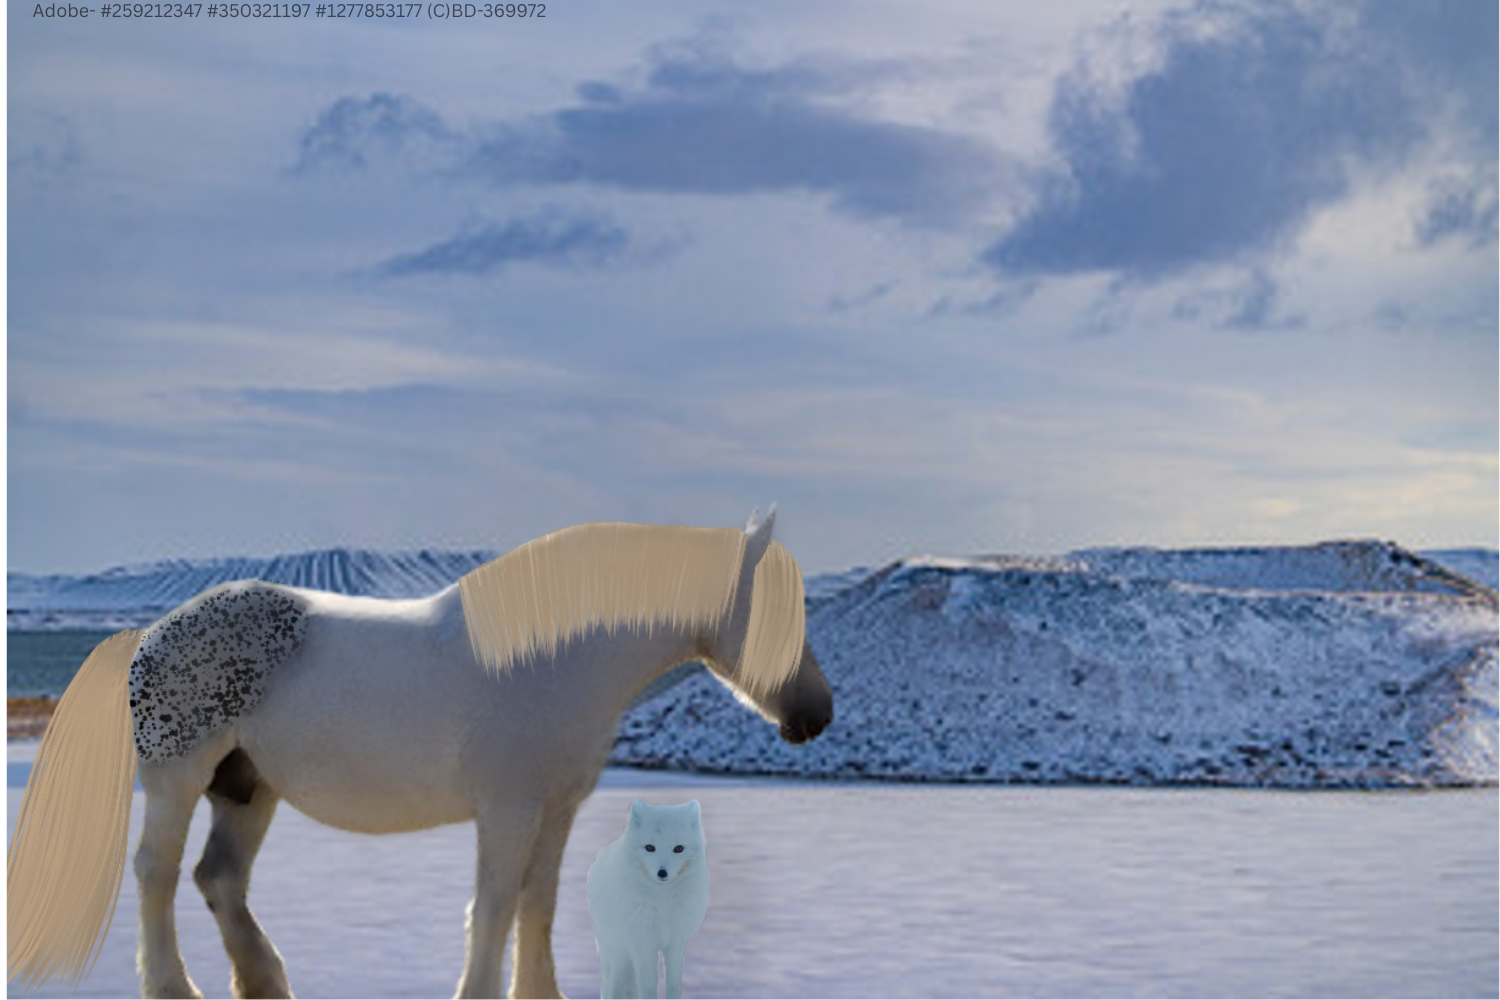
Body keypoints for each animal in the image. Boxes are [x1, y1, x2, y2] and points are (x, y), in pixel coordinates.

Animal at [8, 506, 834, 999]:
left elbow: (537, 906)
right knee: (157, 874)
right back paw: (176, 987)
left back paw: (266, 980)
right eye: (782, 613)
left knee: (220, 879)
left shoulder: (558, 809)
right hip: (178, 780)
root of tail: (147, 635)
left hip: (248, 790)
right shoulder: (509, 810)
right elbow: (494, 909)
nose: (816, 715)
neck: (554, 658)